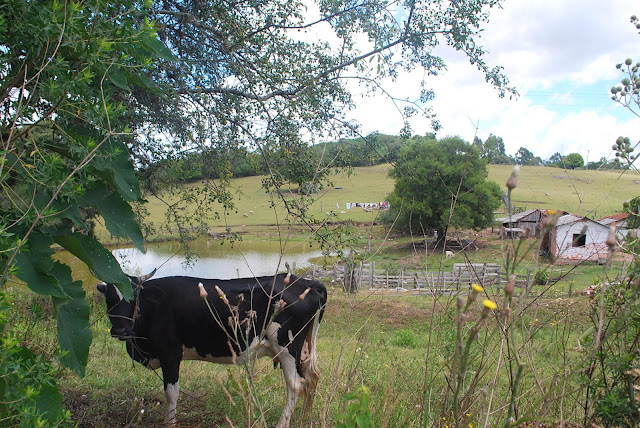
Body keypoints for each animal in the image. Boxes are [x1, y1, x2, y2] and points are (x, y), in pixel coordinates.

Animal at [97, 271, 327, 427]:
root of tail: (305, 281)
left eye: (133, 297)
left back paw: (283, 423)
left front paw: (169, 423)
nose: (120, 330)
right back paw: (304, 417)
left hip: (287, 346)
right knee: (312, 376)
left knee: (295, 384)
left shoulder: (170, 354)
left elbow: (171, 393)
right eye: (109, 298)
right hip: (303, 347)